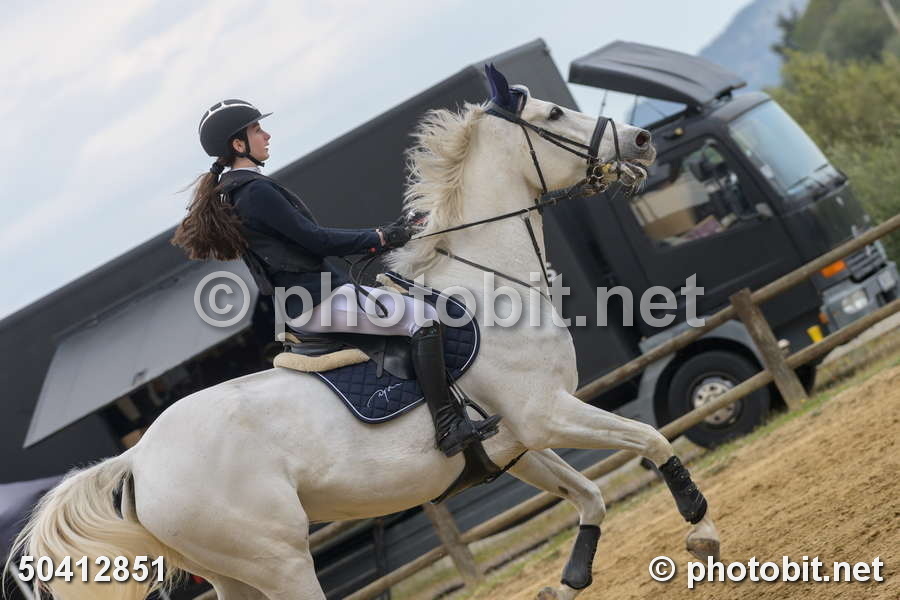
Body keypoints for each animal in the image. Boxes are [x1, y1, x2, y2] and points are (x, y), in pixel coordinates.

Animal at [9, 70, 720, 600]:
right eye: (550, 114)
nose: (643, 140)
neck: (491, 285)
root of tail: (136, 460)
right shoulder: (547, 414)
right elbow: (653, 437)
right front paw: (700, 530)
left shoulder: (520, 442)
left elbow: (591, 495)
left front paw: (569, 579)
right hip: (279, 559)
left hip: (231, 574)